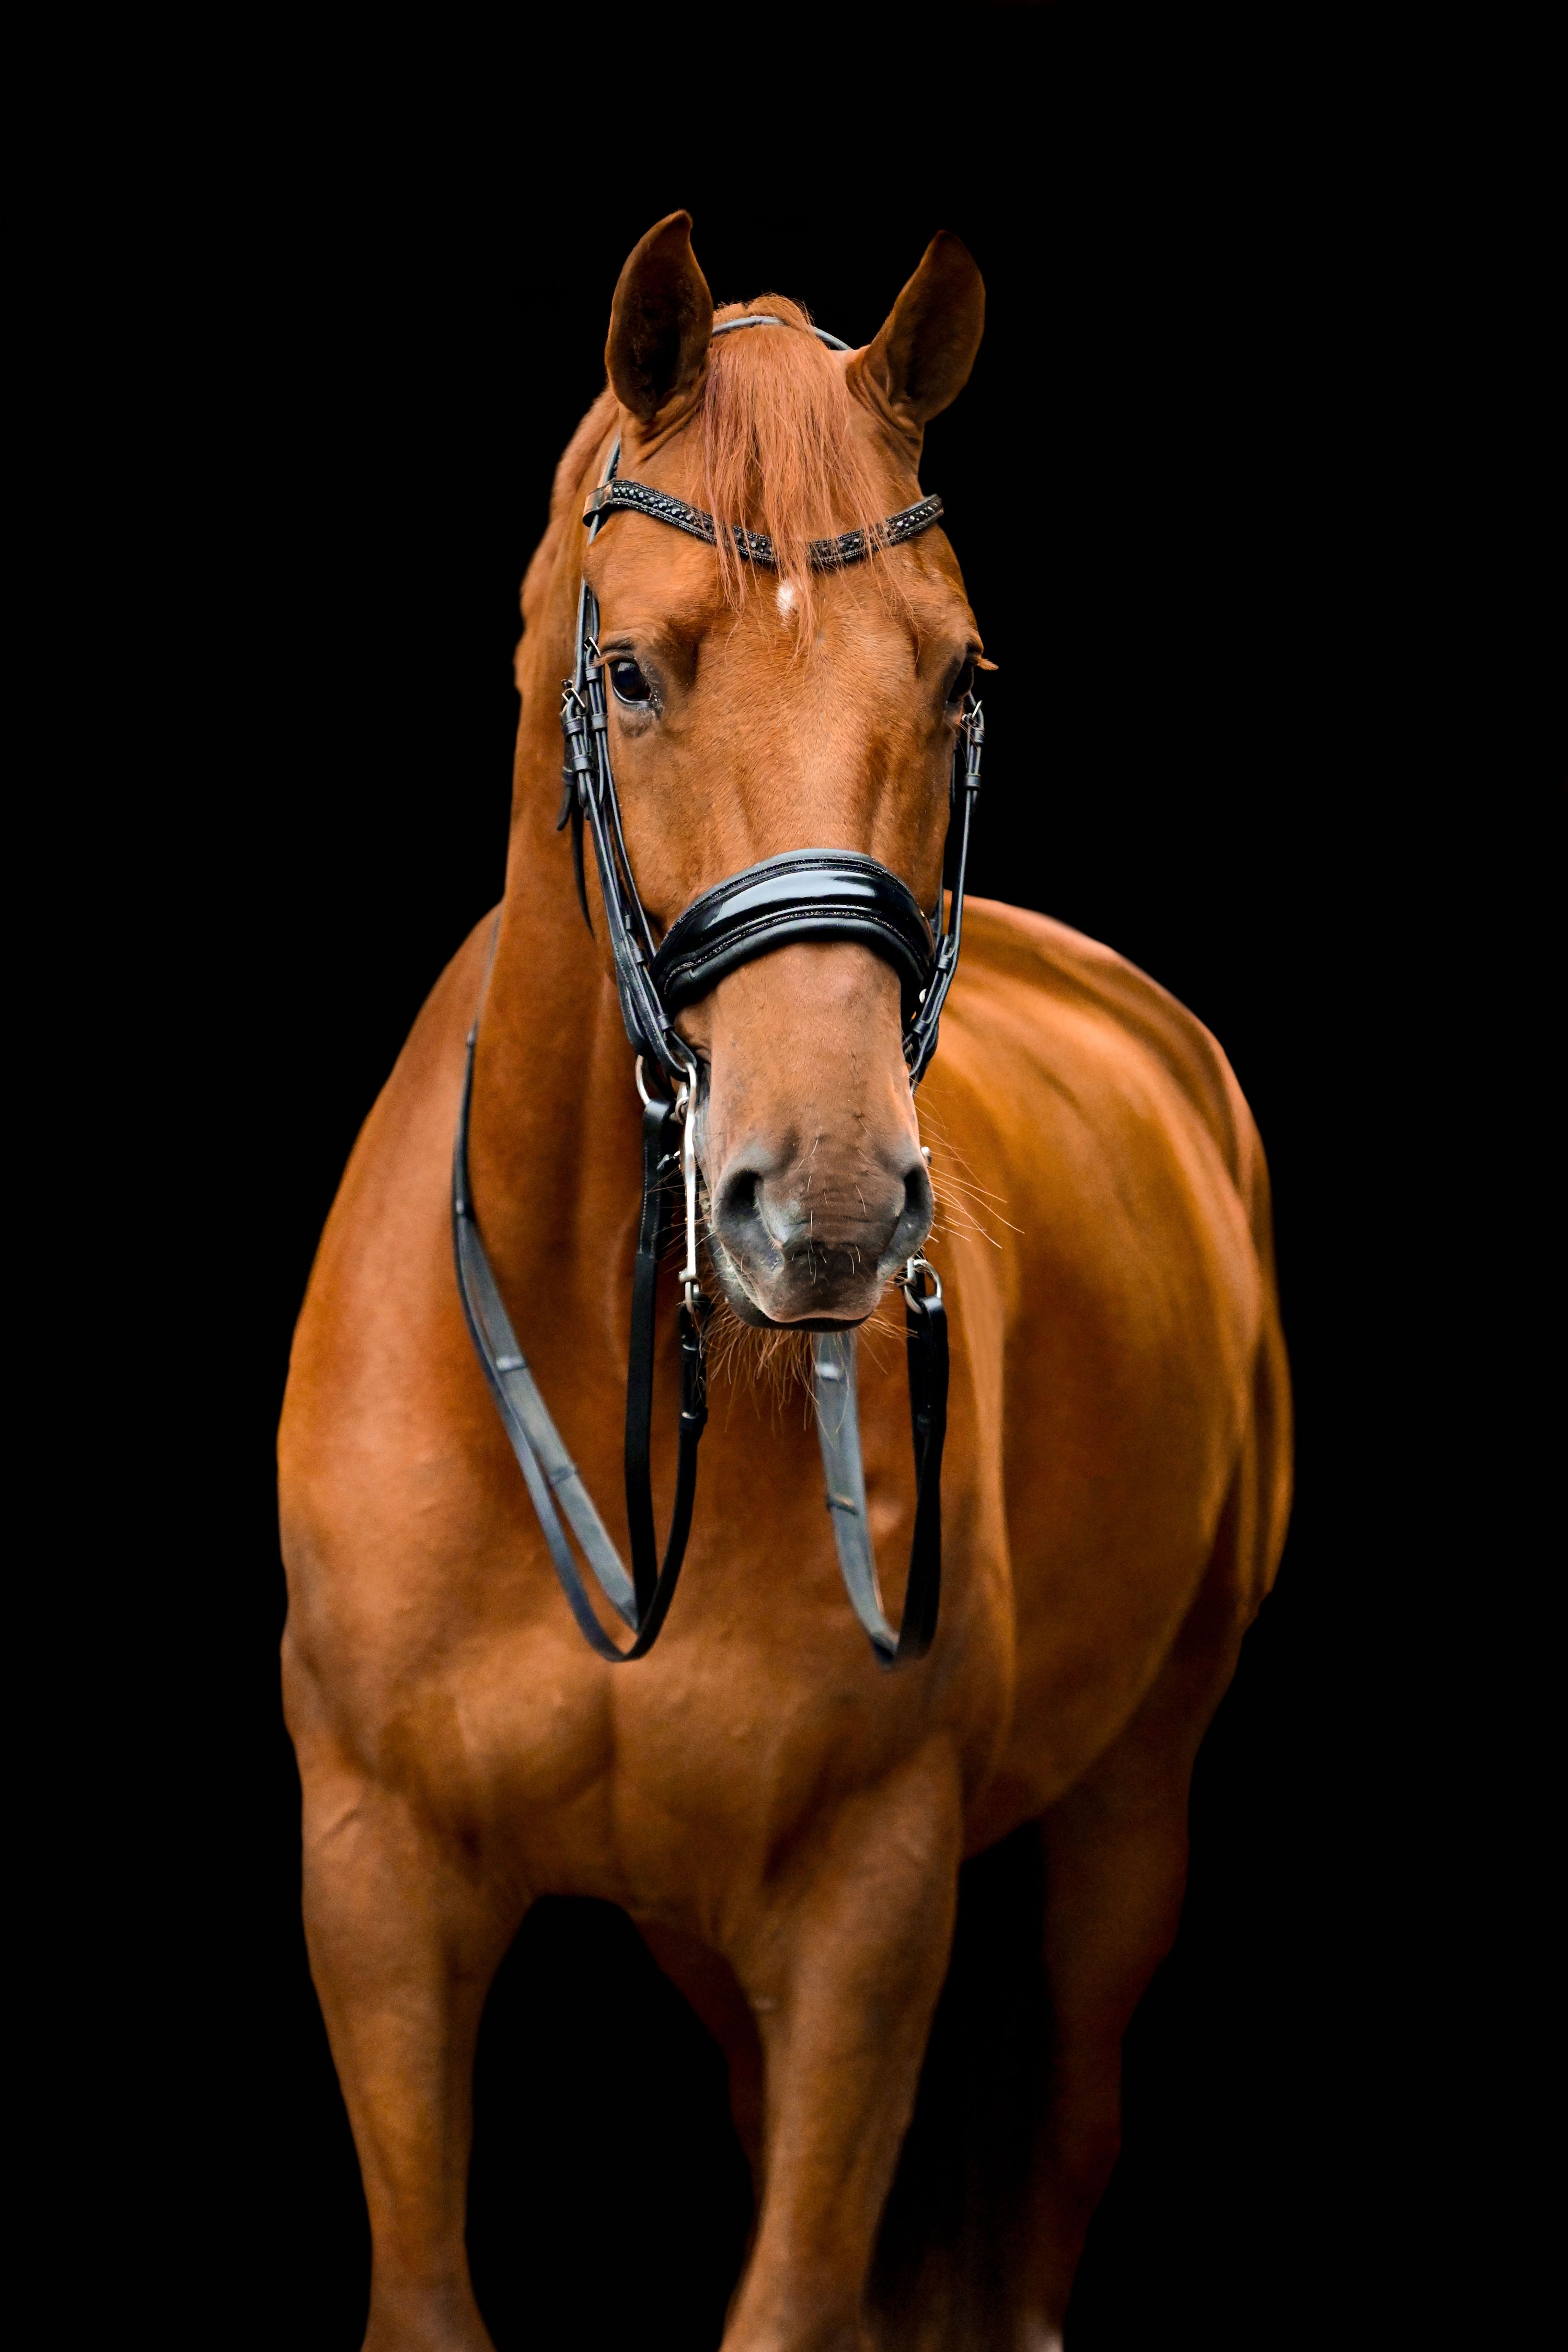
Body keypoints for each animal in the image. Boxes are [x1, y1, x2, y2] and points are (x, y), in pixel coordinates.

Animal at [279, 213, 1291, 2352]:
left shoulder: (864, 1913)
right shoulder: (376, 1888)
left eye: (958, 672)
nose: (817, 1210)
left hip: (1128, 1816)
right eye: (631, 670)